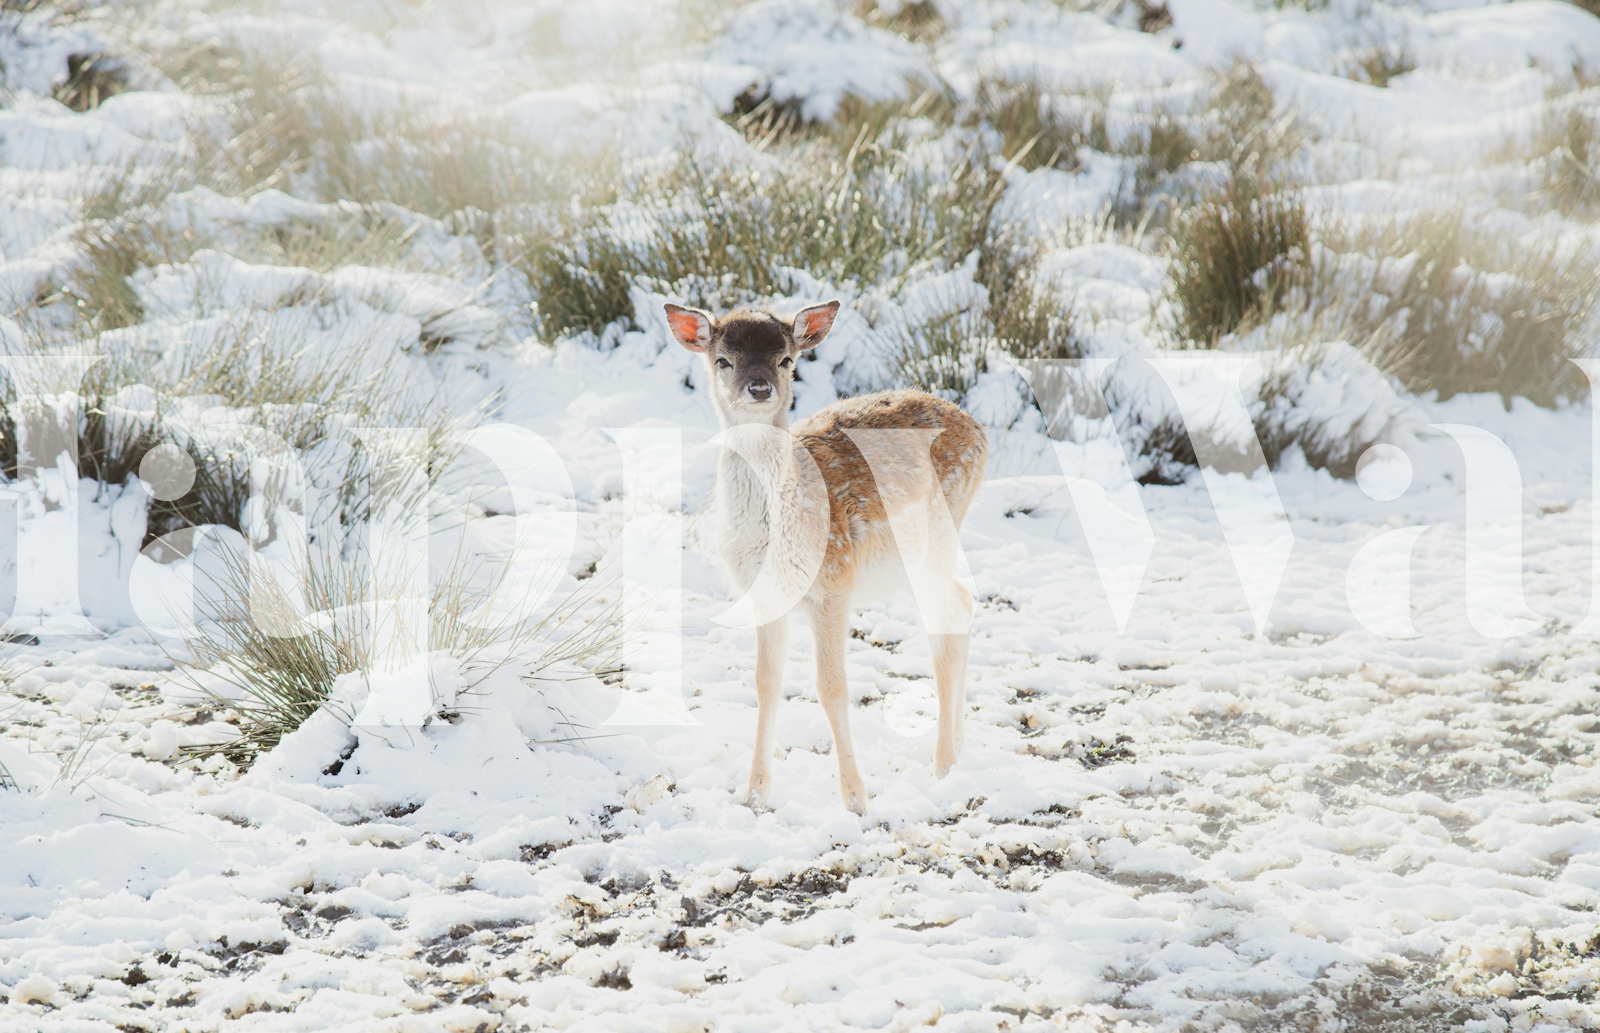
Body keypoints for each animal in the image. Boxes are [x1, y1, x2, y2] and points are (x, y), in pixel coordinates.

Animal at [664, 299, 987, 814]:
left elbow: (832, 687)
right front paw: (755, 793)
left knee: (948, 619)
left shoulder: (835, 580)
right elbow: (765, 684)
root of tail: (979, 430)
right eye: (723, 361)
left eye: (786, 359)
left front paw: (855, 798)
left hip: (937, 535)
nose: (760, 388)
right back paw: (957, 744)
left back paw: (943, 763)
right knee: (963, 603)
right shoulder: (763, 595)